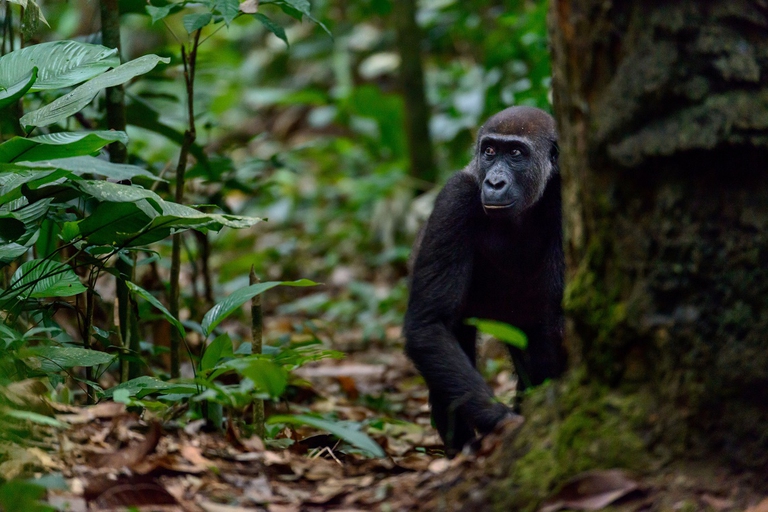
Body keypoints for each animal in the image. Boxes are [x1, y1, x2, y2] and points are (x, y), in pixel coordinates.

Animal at [404, 106, 566, 453]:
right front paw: (503, 421)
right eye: (489, 151)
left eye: (516, 154)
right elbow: (430, 325)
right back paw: (461, 448)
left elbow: (556, 323)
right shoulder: (455, 196)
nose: (494, 181)